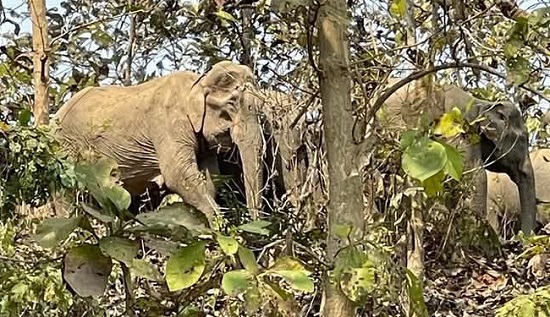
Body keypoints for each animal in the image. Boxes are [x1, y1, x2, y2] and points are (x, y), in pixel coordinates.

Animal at [52, 59, 266, 227]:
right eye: (232, 103)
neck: (197, 83)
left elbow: (210, 177)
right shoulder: (168, 123)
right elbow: (178, 175)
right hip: (66, 150)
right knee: (66, 196)